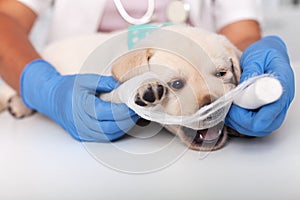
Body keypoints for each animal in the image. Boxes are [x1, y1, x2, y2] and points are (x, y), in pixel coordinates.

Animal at [0, 24, 241, 150]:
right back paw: (19, 104)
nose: (213, 107)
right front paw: (145, 88)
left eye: (221, 74)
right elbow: (118, 91)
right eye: (176, 84)